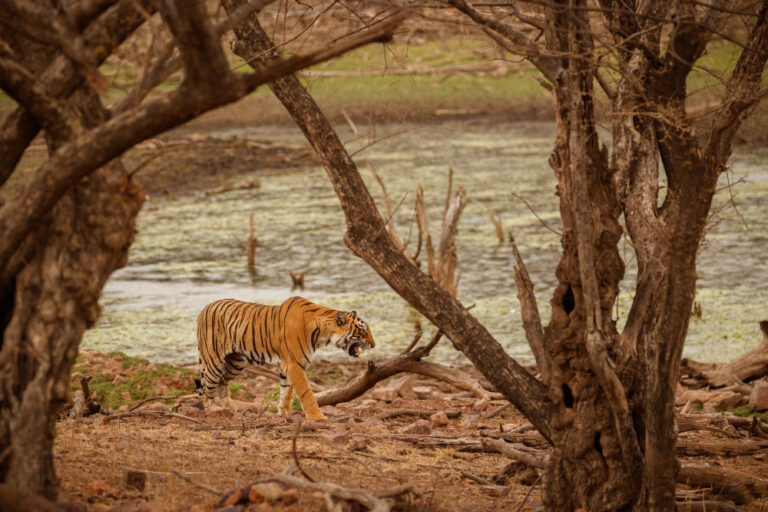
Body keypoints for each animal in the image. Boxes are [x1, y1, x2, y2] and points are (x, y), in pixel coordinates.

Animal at [196, 296, 374, 420]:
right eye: (363, 331)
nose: (374, 345)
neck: (322, 334)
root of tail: (204, 308)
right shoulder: (294, 365)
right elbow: (306, 393)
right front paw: (317, 416)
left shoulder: (288, 365)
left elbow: (286, 391)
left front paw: (285, 413)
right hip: (213, 361)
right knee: (207, 390)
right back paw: (212, 411)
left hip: (236, 362)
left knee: (222, 382)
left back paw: (228, 408)